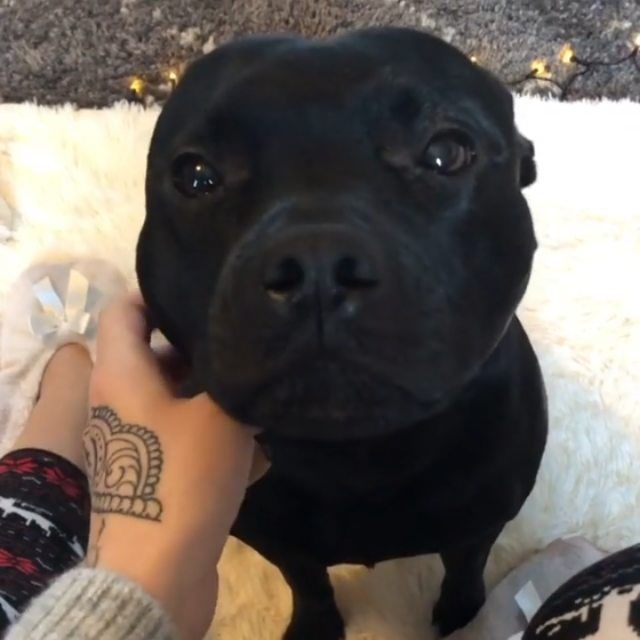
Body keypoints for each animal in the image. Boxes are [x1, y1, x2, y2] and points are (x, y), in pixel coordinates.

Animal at [138, 27, 548, 636]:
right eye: (196, 176)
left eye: (446, 153)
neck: (358, 456)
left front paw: (463, 615)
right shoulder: (277, 536)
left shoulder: (483, 520)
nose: (317, 265)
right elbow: (307, 580)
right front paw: (316, 625)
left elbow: (466, 566)